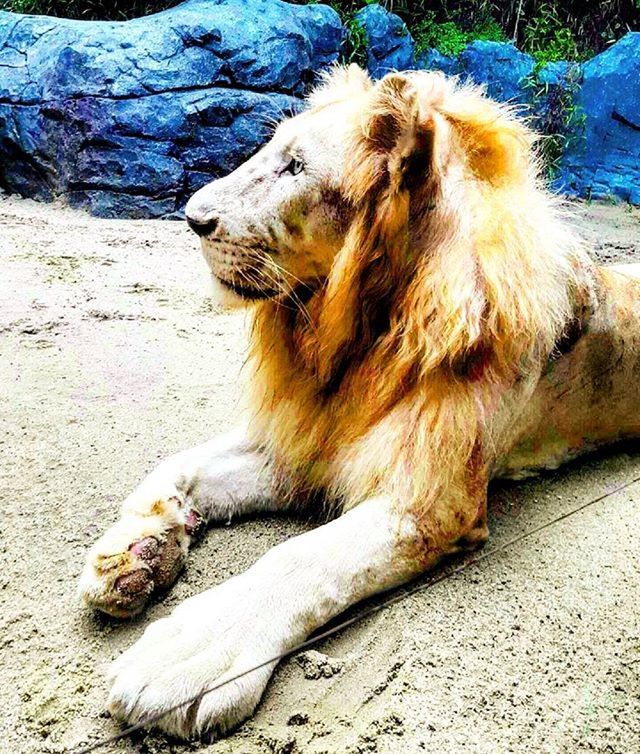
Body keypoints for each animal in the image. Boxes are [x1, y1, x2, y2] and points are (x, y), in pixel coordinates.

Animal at [79, 64, 640, 736]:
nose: (191, 218)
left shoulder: (430, 503)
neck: (356, 335)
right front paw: (133, 551)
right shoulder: (307, 441)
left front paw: (189, 656)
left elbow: (302, 559)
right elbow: (177, 465)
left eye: (296, 166)